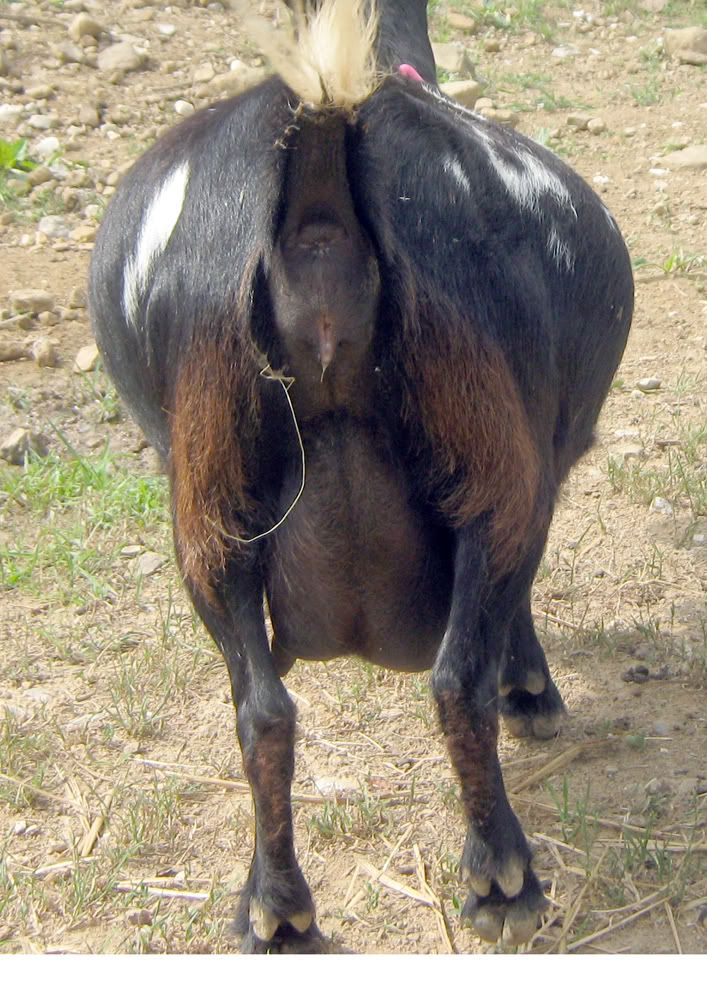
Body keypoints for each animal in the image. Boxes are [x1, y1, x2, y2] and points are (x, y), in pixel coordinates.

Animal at [89, 0, 633, 952]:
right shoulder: (535, 463)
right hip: (493, 458)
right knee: (456, 680)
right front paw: (531, 688)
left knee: (262, 711)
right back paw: (503, 878)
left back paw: (275, 908)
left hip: (209, 500)